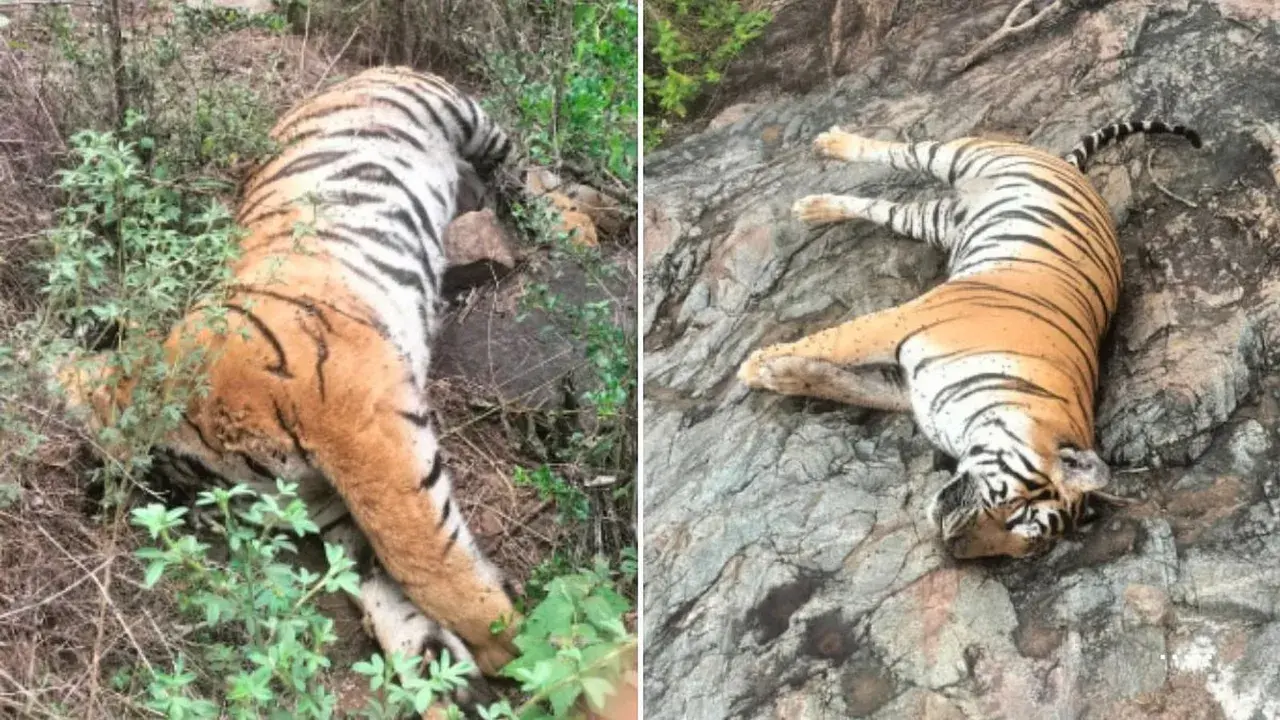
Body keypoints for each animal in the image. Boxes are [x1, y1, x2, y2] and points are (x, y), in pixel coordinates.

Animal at [56, 66, 521, 697]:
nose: (95, 500)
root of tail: (355, 73)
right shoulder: (331, 504)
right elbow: (386, 590)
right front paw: (447, 679)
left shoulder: (361, 428)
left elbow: (418, 553)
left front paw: (513, 644)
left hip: (460, 114)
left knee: (520, 160)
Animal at [738, 119, 1201, 559]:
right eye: (1018, 513)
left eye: (1019, 545)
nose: (953, 545)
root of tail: (1071, 169)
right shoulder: (901, 322)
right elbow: (834, 341)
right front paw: (753, 366)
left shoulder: (905, 390)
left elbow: (841, 384)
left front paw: (780, 374)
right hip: (961, 155)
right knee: (899, 151)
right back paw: (831, 145)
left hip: (934, 221)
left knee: (882, 207)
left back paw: (815, 208)